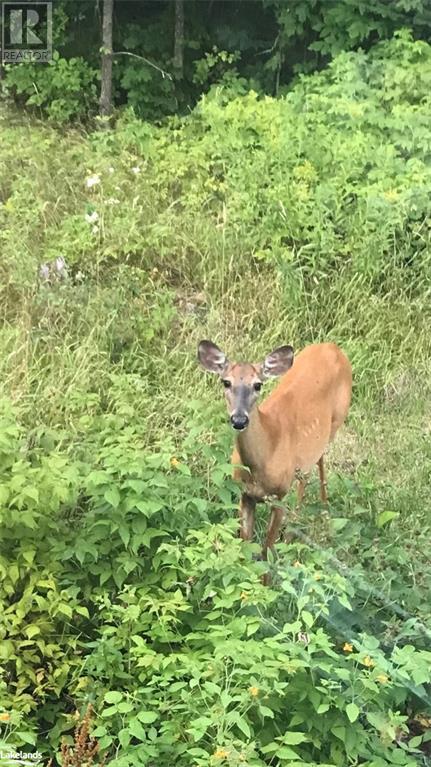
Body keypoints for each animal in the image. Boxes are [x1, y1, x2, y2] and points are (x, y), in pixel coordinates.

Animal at [197, 340, 352, 572]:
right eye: (226, 382)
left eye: (257, 385)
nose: (239, 419)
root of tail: (332, 346)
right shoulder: (244, 494)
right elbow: (245, 546)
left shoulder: (279, 497)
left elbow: (266, 553)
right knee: (308, 471)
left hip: (337, 420)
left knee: (319, 463)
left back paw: (323, 516)